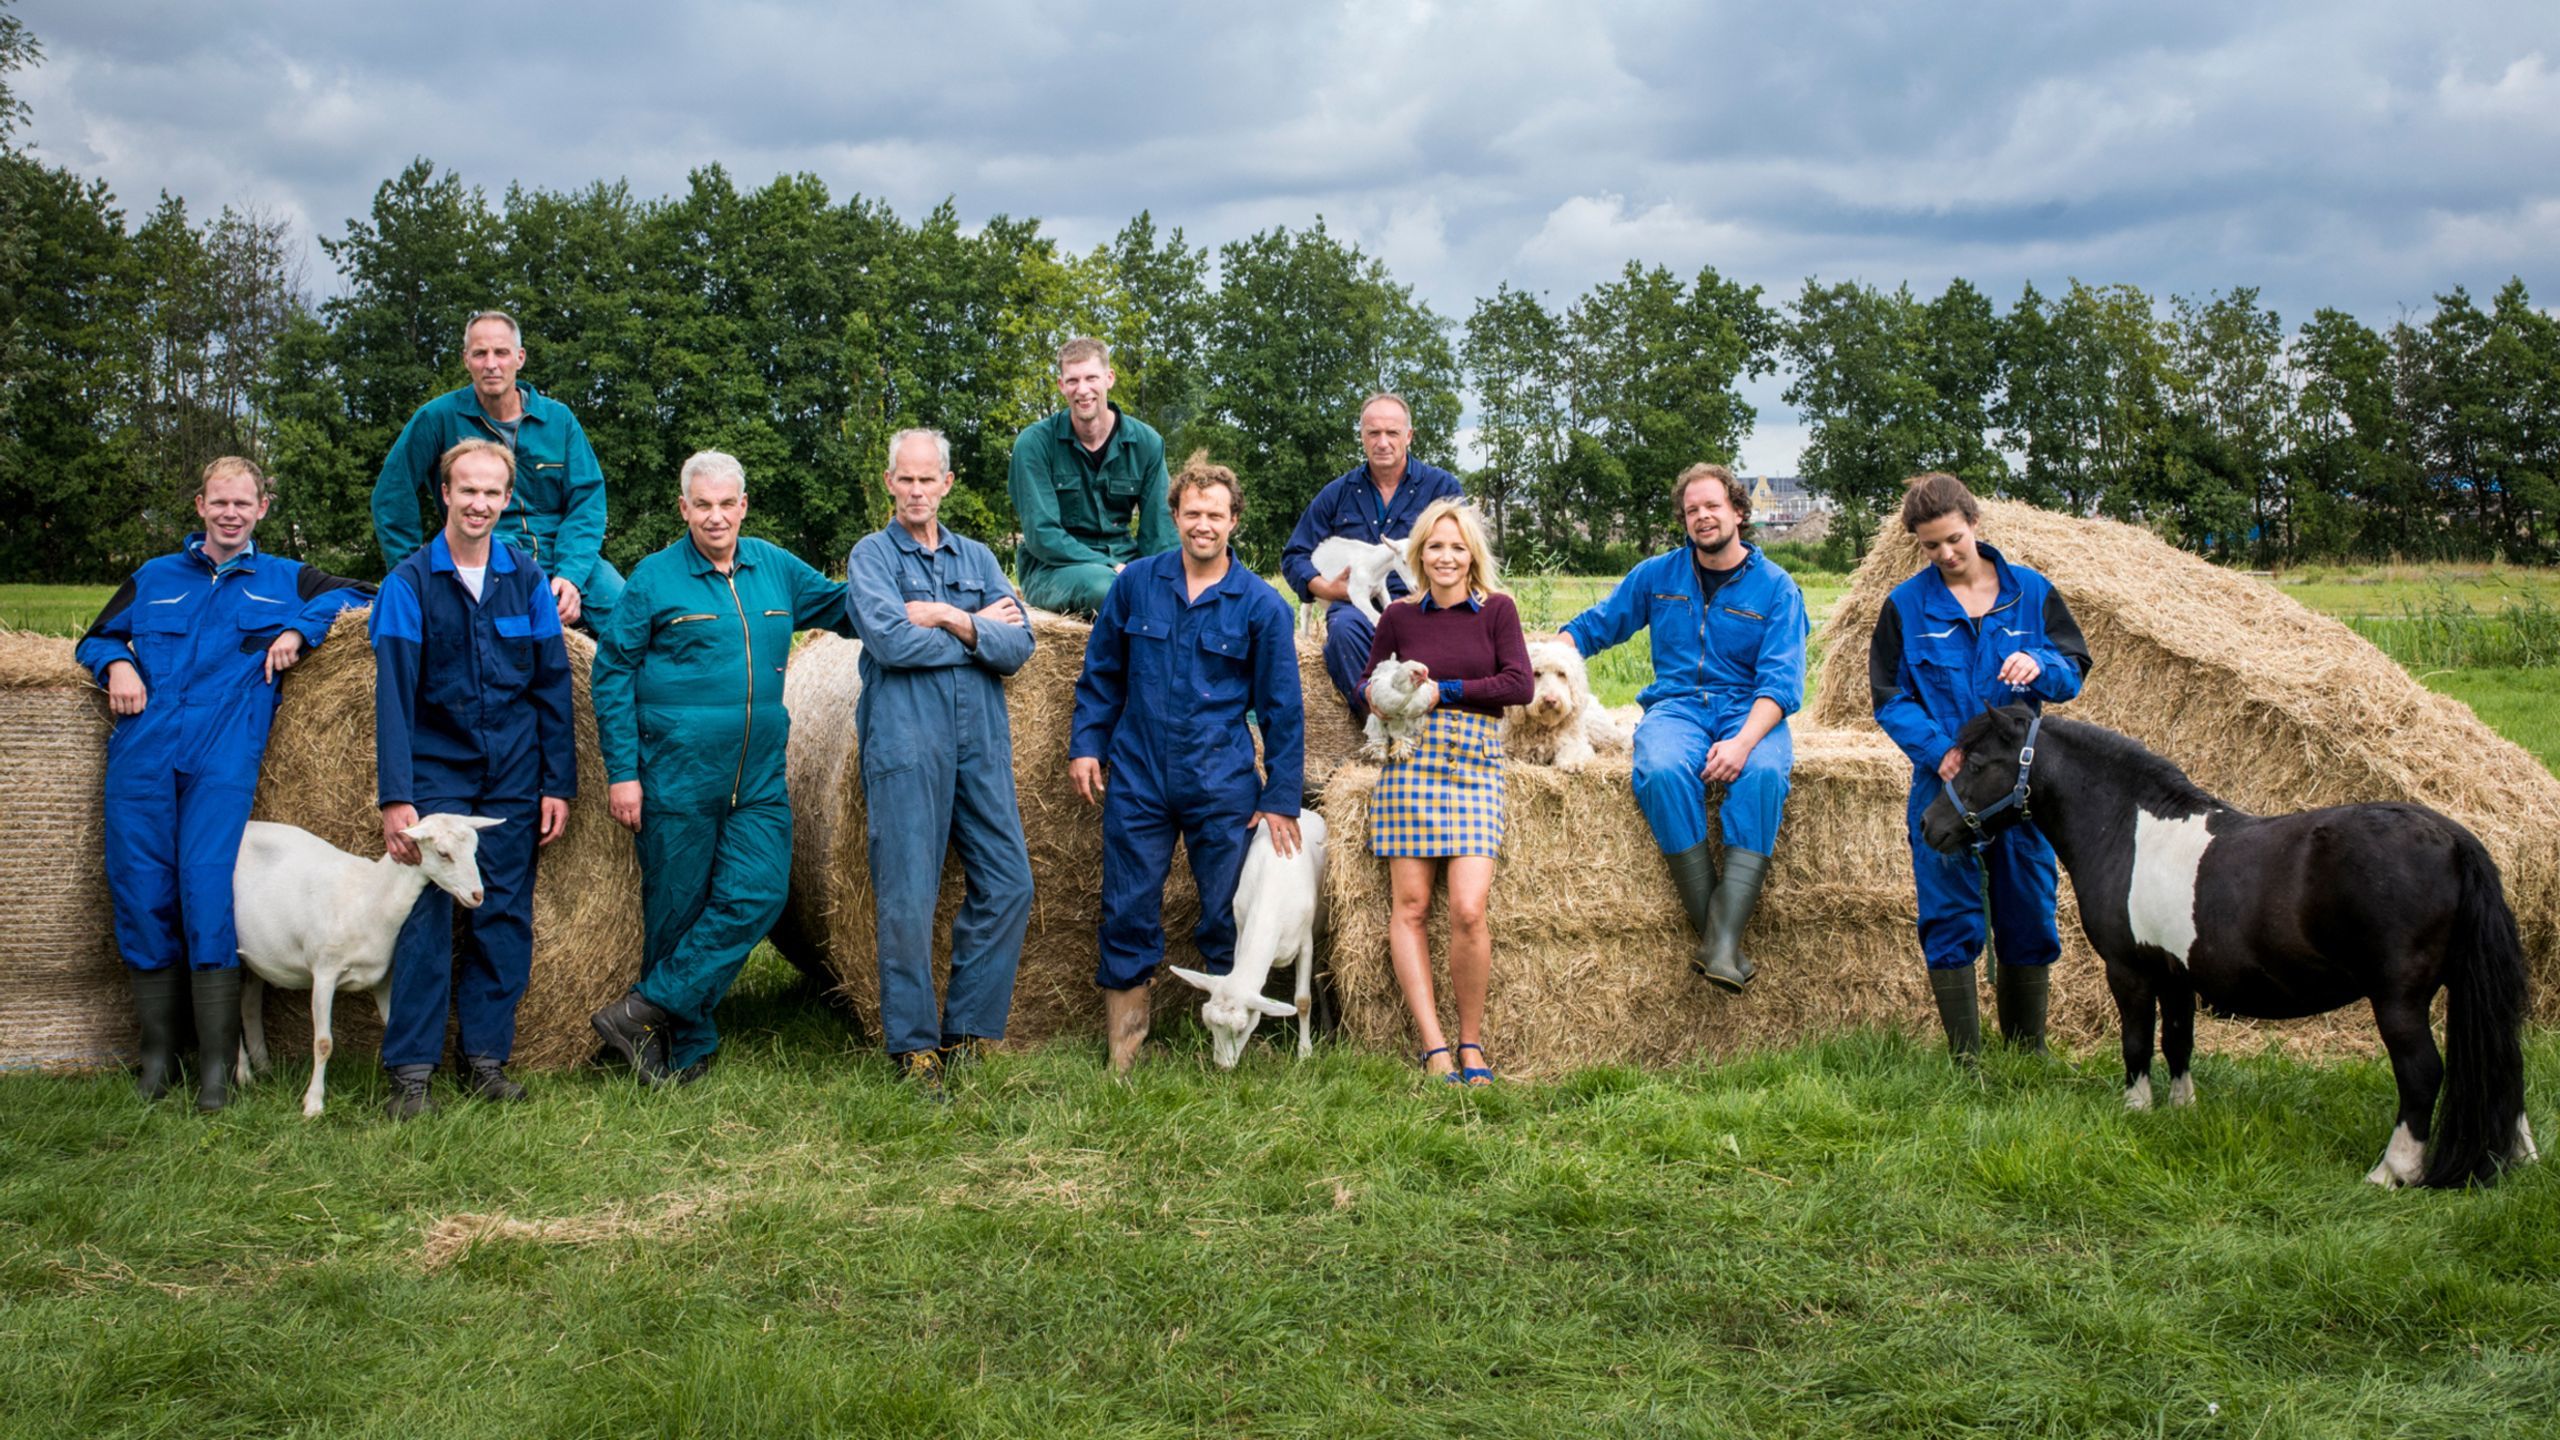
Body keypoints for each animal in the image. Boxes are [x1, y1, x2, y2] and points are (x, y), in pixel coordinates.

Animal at [238, 819, 501, 1112]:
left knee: (248, 1006)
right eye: (443, 853)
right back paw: (243, 1073)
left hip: (256, 956)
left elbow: (394, 1028)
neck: (369, 899)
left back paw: (263, 1068)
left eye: (475, 850)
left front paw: (403, 1092)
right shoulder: (325, 972)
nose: (477, 895)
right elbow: (323, 1043)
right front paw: (314, 1103)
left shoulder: (383, 979)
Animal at [1172, 814, 1331, 1060]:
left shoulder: (1305, 941)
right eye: (1209, 1025)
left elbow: (1303, 1001)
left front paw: (1304, 1052)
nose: (1222, 1065)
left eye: (1241, 1029)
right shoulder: (1241, 931)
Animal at [1925, 702, 2539, 1183]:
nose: (1932, 827)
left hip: (2399, 1001)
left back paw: (2393, 1171)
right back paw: (2514, 1156)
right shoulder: (2175, 975)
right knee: (2502, 1063)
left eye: (1976, 764)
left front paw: (2136, 1109)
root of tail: (2454, 839)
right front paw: (2182, 1111)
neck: (2129, 829)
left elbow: (2136, 1042)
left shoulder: (2130, 970)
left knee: (2422, 1074)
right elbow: (2177, 1043)